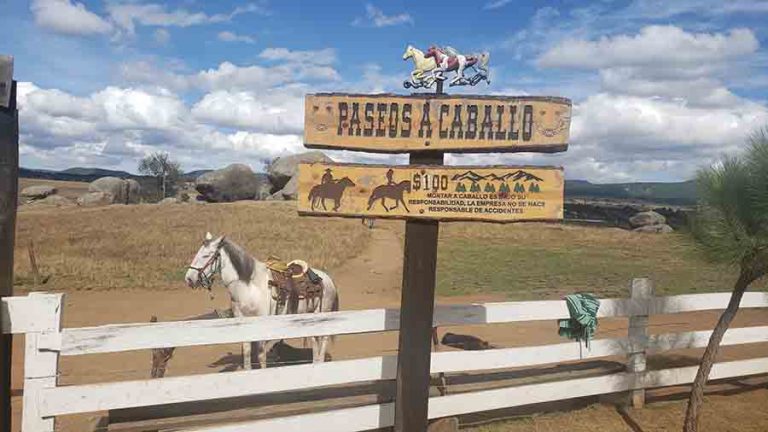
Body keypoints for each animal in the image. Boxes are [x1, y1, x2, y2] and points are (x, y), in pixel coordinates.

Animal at [183, 231, 340, 370]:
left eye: (206, 255)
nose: (189, 279)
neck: (250, 286)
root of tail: (327, 279)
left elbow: (261, 355)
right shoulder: (243, 320)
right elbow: (247, 351)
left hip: (324, 313)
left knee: (324, 339)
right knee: (314, 340)